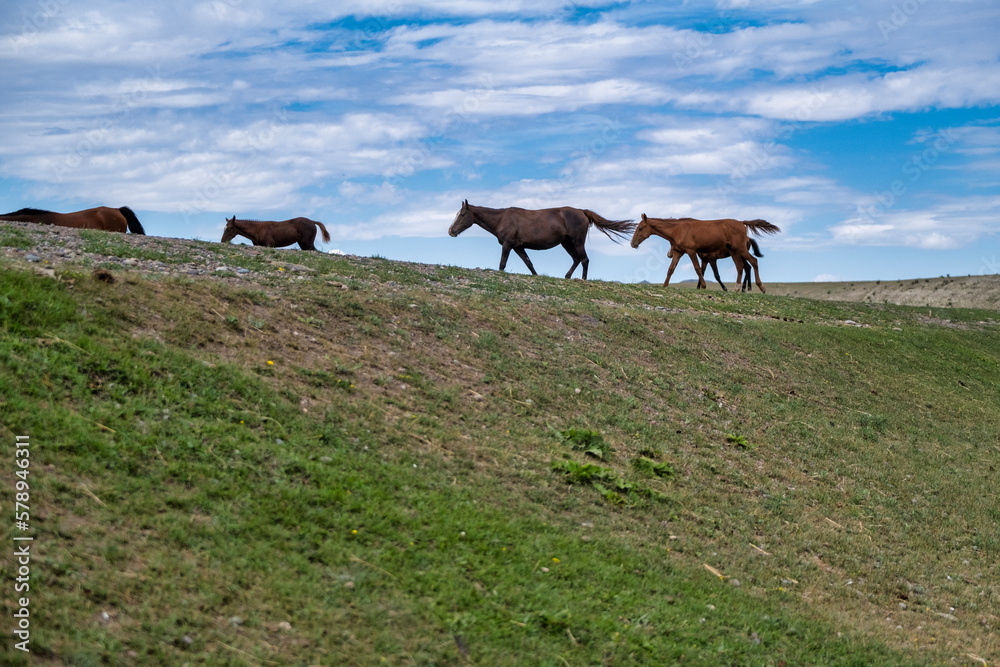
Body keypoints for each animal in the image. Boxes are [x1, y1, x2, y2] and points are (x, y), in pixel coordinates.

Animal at [448, 200, 635, 280]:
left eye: (462, 214)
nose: (451, 231)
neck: (501, 219)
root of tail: (582, 211)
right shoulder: (518, 247)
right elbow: (529, 263)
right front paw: (537, 276)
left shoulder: (508, 245)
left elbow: (502, 264)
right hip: (566, 243)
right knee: (576, 259)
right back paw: (567, 276)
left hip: (577, 241)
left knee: (584, 259)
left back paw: (582, 280)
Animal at [631, 215, 779, 292]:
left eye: (640, 228)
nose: (633, 244)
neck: (677, 230)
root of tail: (742, 223)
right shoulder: (679, 252)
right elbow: (671, 269)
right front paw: (665, 285)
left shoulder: (691, 252)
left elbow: (698, 269)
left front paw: (703, 286)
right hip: (734, 251)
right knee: (740, 267)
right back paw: (737, 289)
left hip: (740, 249)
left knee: (753, 262)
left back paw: (760, 287)